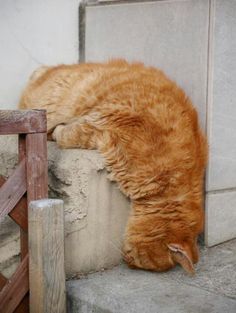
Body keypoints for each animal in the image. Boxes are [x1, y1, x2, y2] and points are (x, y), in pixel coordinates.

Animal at [20, 59, 208, 272]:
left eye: (142, 264)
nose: (130, 263)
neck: (172, 179)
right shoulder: (99, 122)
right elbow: (69, 133)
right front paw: (58, 132)